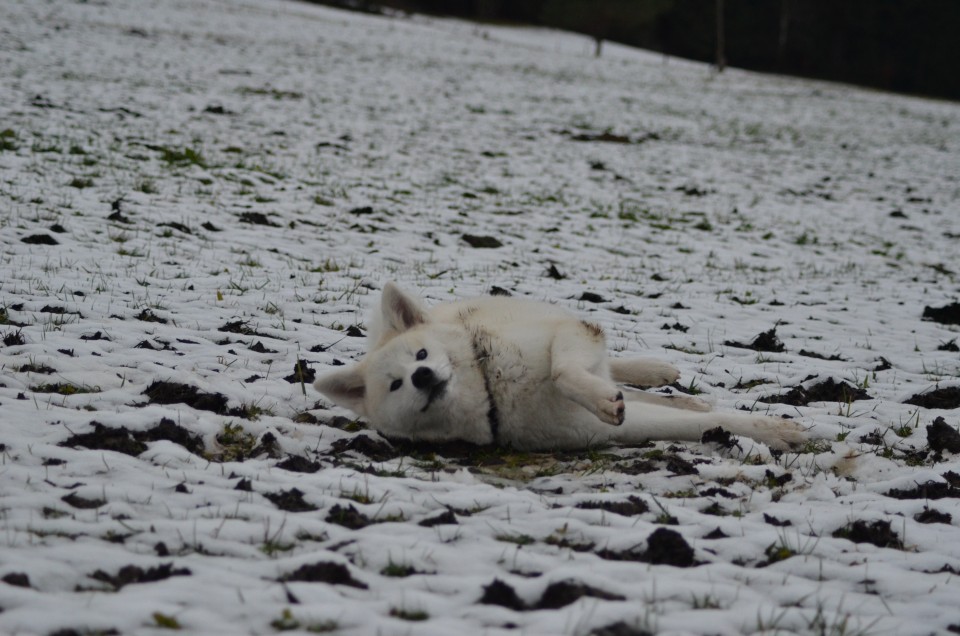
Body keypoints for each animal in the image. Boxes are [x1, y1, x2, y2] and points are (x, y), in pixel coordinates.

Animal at [314, 284, 804, 452]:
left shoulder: (565, 335)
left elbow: (563, 371)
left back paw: (655, 370)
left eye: (419, 356)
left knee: (612, 362)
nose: (422, 377)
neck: (492, 387)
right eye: (396, 385)